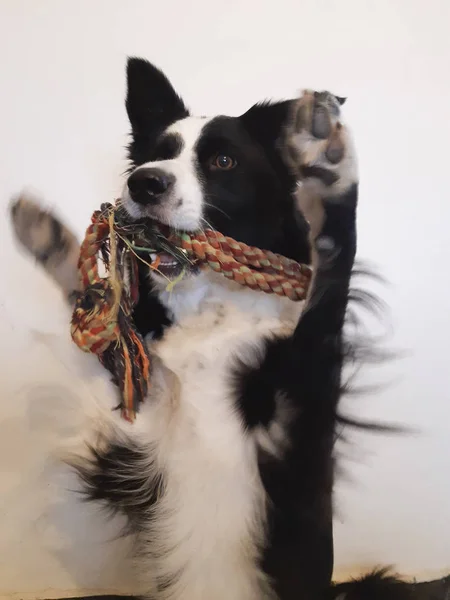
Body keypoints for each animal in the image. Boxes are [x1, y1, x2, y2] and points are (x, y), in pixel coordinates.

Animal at [11, 57, 362, 600]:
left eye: (223, 162)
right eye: (156, 155)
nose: (144, 183)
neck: (210, 305)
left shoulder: (300, 434)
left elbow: (330, 288)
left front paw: (328, 161)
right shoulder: (142, 429)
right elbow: (103, 342)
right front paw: (48, 236)